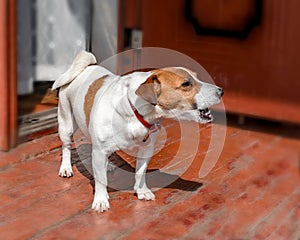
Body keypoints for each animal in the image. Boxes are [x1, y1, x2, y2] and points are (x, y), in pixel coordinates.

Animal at [52, 50, 224, 212]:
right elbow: (101, 180)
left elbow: (140, 173)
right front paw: (101, 200)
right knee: (66, 147)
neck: (136, 112)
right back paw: (66, 167)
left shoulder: (146, 150)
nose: (221, 91)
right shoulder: (99, 150)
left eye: (197, 78)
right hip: (66, 124)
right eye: (186, 84)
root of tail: (86, 67)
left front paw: (141, 191)